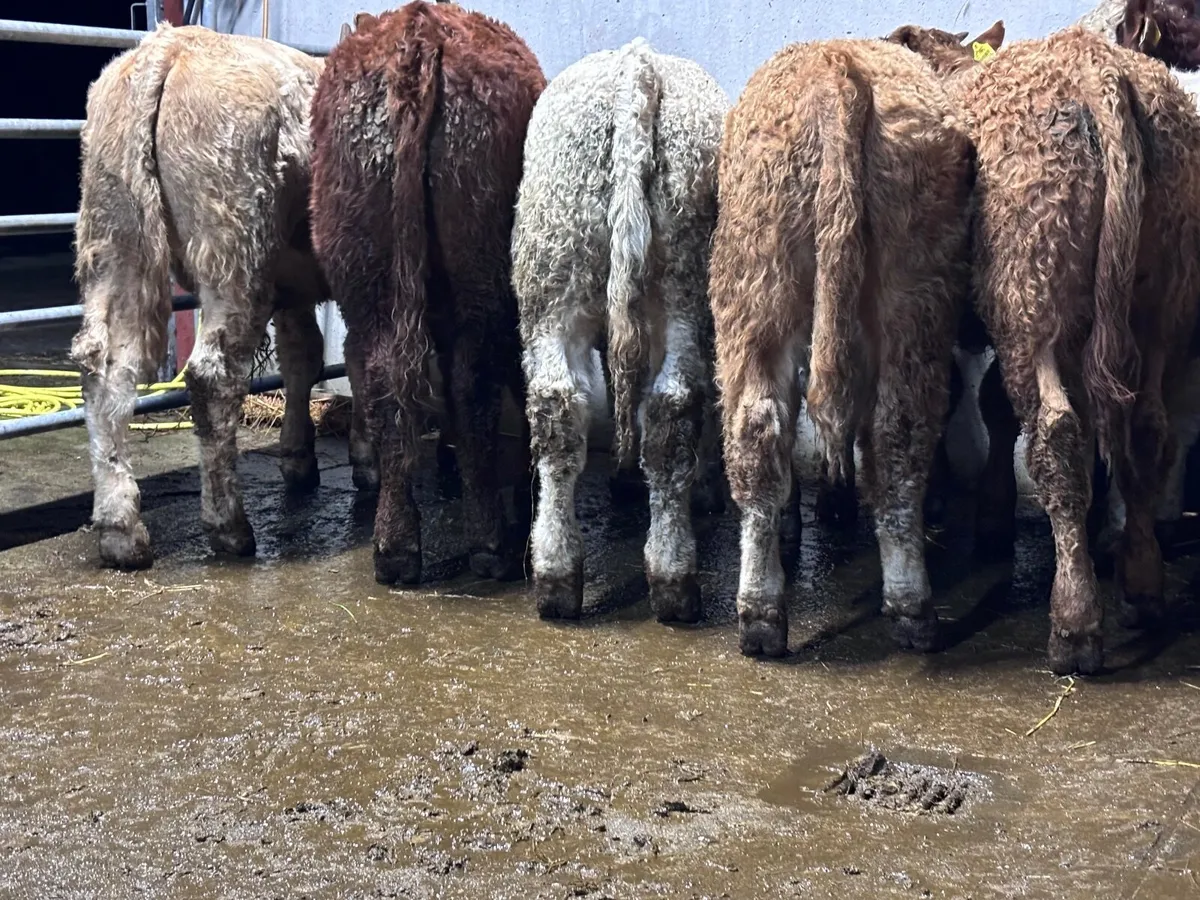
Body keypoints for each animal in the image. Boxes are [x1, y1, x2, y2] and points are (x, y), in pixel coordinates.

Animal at [72, 23, 336, 570]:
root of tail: (169, 46)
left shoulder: (296, 282)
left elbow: (303, 357)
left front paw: (298, 457)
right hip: (233, 247)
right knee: (213, 378)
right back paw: (229, 527)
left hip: (112, 237)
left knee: (102, 369)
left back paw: (120, 530)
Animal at [309, 1, 544, 586]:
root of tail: (420, 30)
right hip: (479, 274)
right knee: (470, 383)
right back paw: (487, 541)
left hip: (367, 274)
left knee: (382, 377)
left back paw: (395, 548)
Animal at [511, 38, 728, 622]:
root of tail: (638, 68)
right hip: (685, 284)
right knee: (673, 408)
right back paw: (674, 578)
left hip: (553, 267)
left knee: (559, 410)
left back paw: (557, 575)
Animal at [709, 33, 998, 658]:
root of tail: (834, 71)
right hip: (912, 291)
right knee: (898, 432)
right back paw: (913, 607)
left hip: (758, 279)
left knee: (757, 429)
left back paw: (761, 615)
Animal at [891, 19, 1200, 674]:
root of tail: (1095, 66)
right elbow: (991, 406)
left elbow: (970, 402)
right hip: (1162, 294)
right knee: (1148, 428)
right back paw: (1141, 584)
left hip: (1030, 289)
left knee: (1058, 436)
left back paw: (1074, 625)